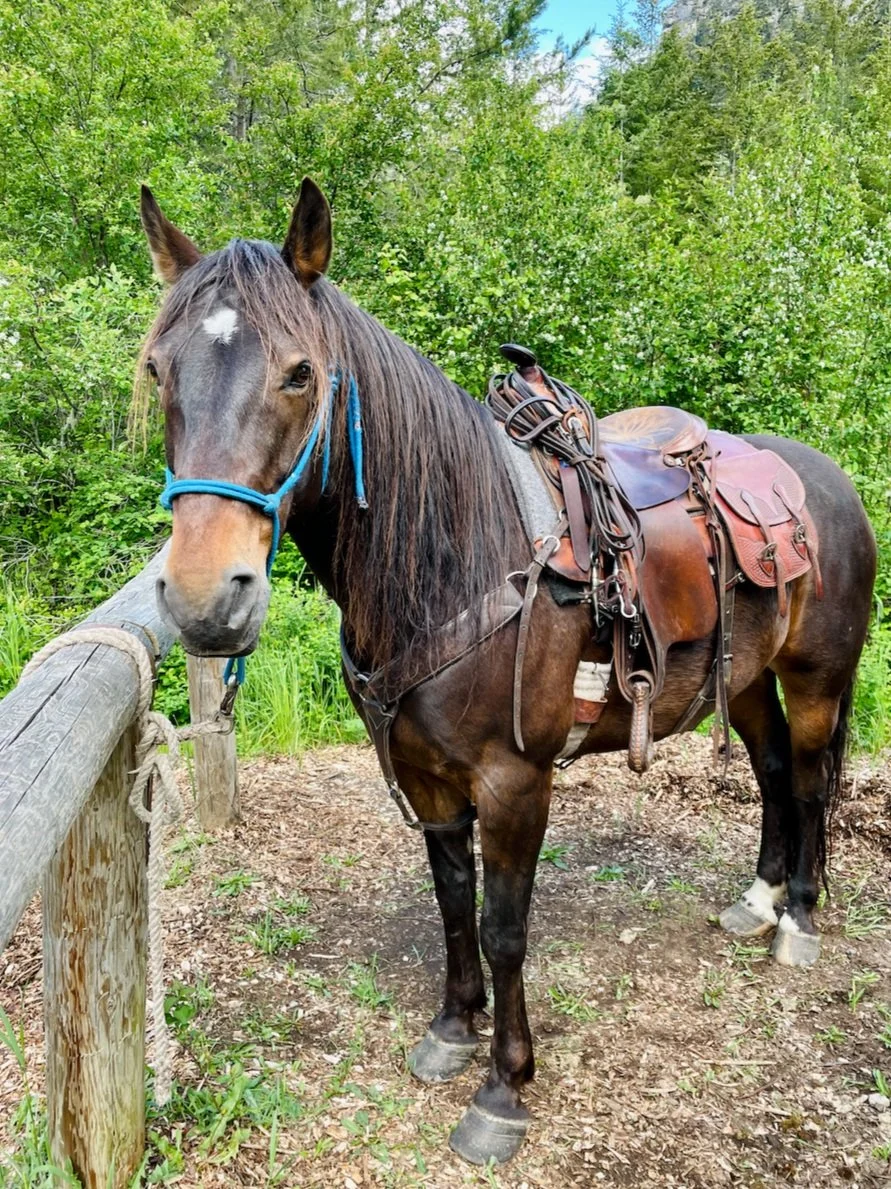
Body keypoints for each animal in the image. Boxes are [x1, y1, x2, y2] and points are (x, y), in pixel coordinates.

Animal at [137, 177, 876, 1165]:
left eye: (299, 373)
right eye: (159, 371)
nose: (203, 598)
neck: (458, 555)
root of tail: (826, 480)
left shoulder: (514, 779)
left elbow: (503, 925)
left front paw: (503, 1088)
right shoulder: (426, 775)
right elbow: (453, 901)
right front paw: (453, 1028)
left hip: (817, 675)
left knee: (804, 779)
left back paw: (795, 918)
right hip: (750, 676)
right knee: (766, 773)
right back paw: (756, 901)